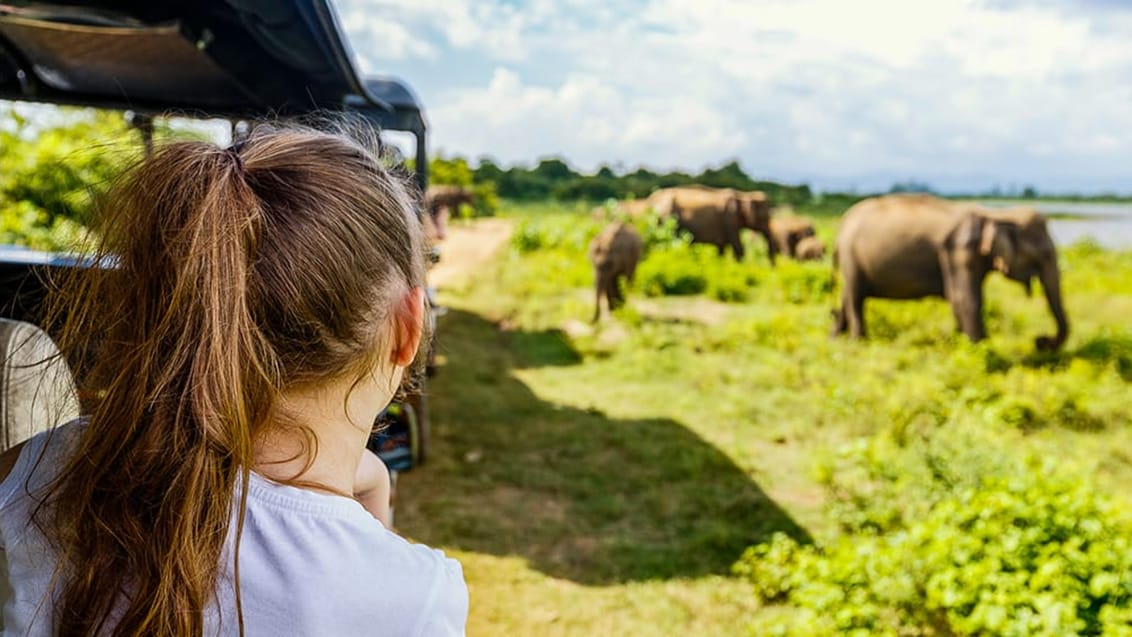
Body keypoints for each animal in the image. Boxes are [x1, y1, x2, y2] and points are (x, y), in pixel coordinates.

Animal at [647, 185, 778, 265]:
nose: (772, 270)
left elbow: (721, 248)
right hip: (668, 219)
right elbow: (738, 246)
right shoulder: (730, 219)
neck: (742, 194)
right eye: (764, 218)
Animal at [833, 194, 1068, 353]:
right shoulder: (958, 252)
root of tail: (842, 222)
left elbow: (964, 300)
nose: (1040, 341)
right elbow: (964, 299)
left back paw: (834, 337)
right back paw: (858, 343)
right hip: (851, 257)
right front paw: (979, 350)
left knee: (847, 295)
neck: (994, 214)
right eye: (1044, 255)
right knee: (855, 298)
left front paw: (961, 343)